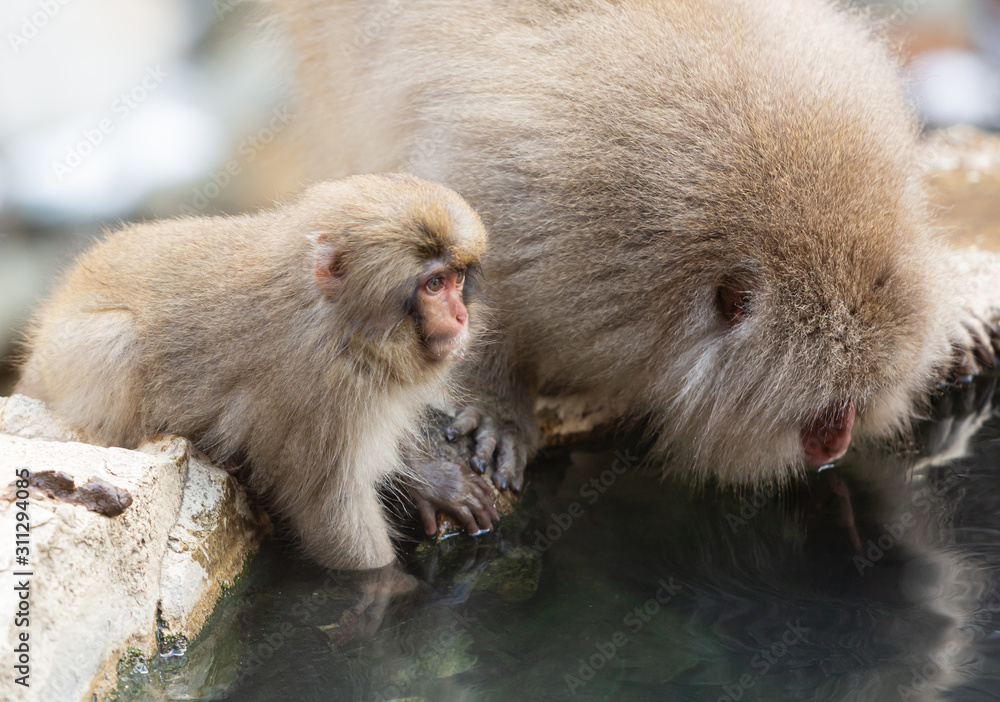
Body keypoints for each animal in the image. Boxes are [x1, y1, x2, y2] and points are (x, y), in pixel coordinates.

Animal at [15, 173, 499, 570]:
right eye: (433, 285)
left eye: (456, 278)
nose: (460, 317)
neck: (341, 324)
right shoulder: (320, 388)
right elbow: (329, 508)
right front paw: (386, 590)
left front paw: (432, 480)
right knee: (117, 339)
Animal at [269, 0, 1000, 490]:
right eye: (826, 410)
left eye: (855, 403)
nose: (835, 446)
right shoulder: (556, 215)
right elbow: (466, 257)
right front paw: (497, 405)